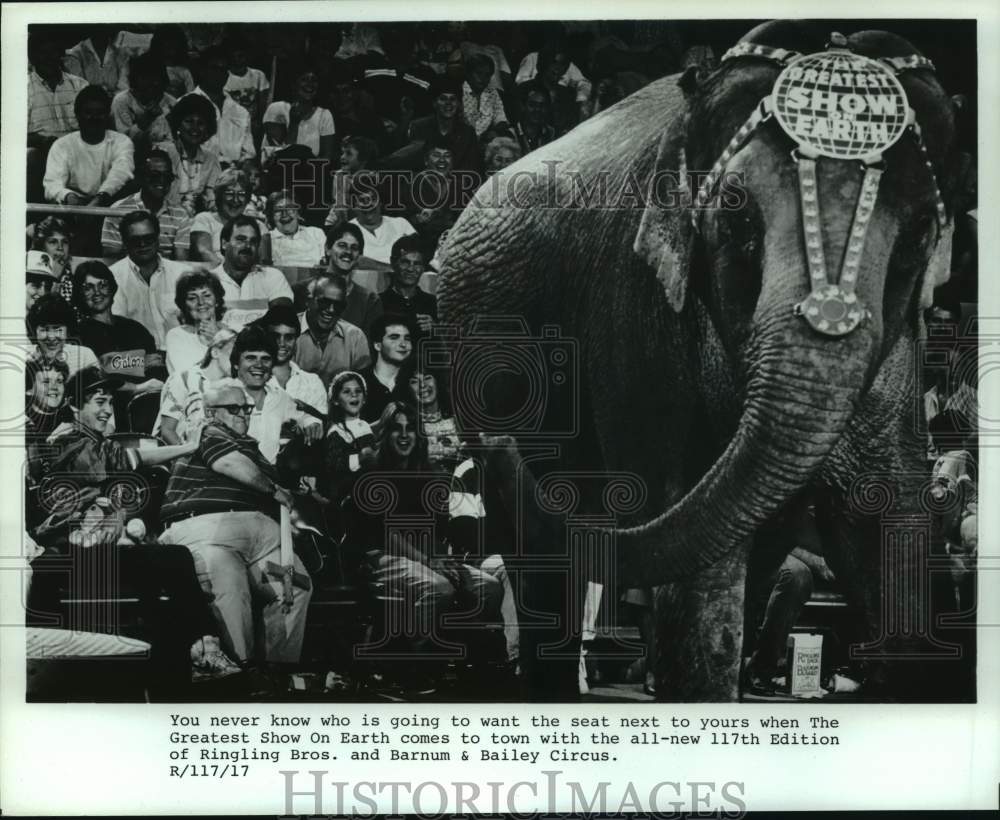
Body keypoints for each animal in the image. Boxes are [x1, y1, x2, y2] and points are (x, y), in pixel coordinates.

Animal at [438, 17, 968, 700]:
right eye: (737, 219)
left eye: (921, 236)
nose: (501, 442)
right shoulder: (635, 310)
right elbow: (697, 562)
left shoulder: (904, 346)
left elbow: (888, 523)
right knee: (541, 557)